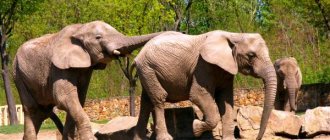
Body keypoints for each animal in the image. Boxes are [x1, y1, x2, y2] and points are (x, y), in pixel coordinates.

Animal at [12, 20, 162, 140]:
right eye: (98, 37)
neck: (80, 29)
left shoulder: (86, 68)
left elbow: (79, 98)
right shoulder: (57, 67)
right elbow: (64, 97)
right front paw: (89, 139)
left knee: (40, 112)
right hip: (18, 74)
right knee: (32, 109)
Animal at [133, 30, 278, 140]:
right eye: (251, 55)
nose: (257, 138)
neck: (233, 35)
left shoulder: (226, 69)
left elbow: (226, 99)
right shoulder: (202, 66)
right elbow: (198, 94)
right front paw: (196, 128)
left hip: (147, 72)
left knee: (146, 102)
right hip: (148, 68)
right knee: (159, 98)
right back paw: (165, 138)